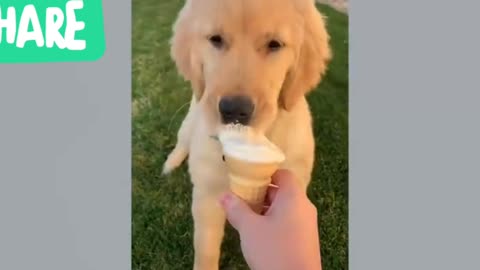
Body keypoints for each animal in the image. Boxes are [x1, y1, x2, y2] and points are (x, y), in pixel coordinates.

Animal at [161, 0, 330, 268]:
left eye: (274, 44)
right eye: (216, 39)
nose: (234, 110)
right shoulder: (207, 194)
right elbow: (206, 247)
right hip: (190, 119)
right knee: (182, 142)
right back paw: (170, 164)